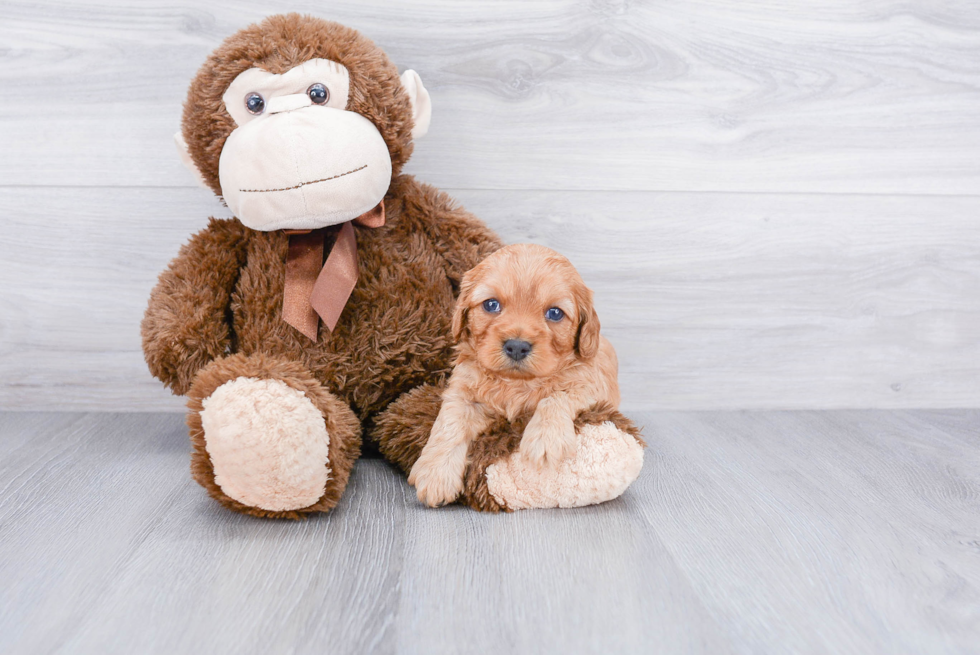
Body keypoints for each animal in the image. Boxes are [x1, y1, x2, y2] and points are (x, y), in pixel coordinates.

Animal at [408, 245, 620, 508]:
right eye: (491, 305)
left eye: (555, 313)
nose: (517, 346)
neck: (516, 383)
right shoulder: (462, 392)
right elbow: (449, 423)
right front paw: (436, 474)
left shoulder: (591, 385)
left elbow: (558, 396)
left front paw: (545, 438)